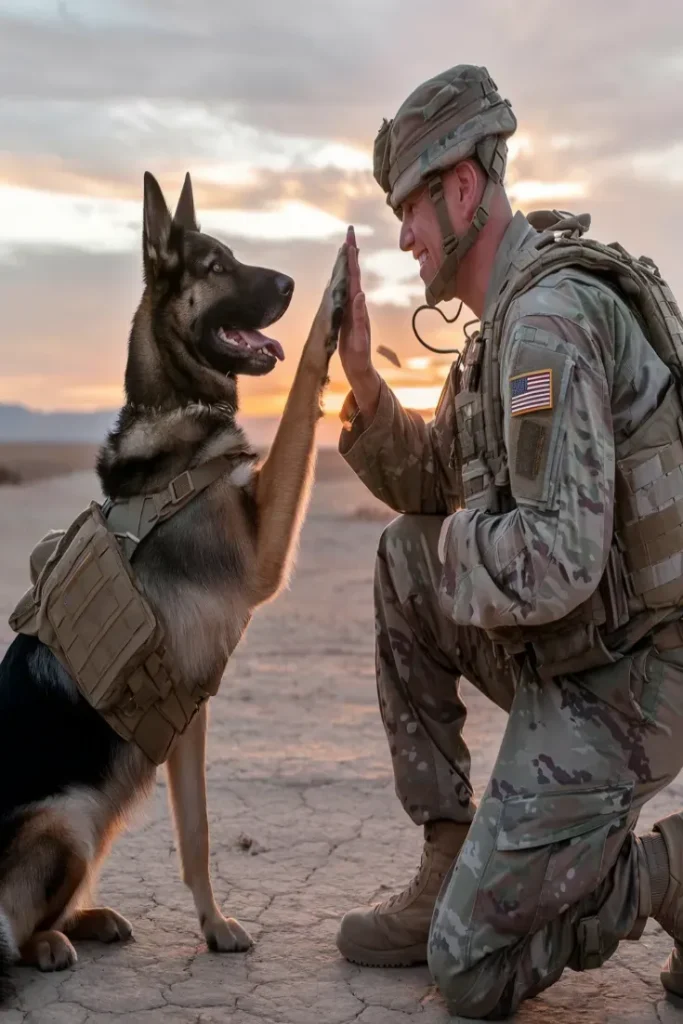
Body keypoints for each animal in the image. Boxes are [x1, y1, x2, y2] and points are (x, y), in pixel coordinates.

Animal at [0, 172, 348, 995]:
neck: (174, 408)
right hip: (67, 818)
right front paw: (334, 293)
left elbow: (196, 830)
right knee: (10, 934)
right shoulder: (260, 553)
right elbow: (298, 398)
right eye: (216, 266)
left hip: (93, 819)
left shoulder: (190, 717)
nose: (289, 283)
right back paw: (50, 943)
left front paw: (213, 926)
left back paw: (90, 920)